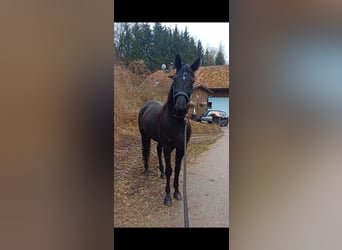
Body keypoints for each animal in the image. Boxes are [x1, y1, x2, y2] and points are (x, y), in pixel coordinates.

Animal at [138, 55, 200, 207]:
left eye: (192, 81)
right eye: (175, 78)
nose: (180, 108)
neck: (176, 121)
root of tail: (145, 106)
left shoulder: (181, 148)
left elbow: (177, 169)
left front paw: (177, 192)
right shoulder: (168, 147)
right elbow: (170, 170)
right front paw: (167, 197)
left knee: (157, 151)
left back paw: (160, 173)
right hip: (144, 136)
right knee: (146, 150)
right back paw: (146, 170)